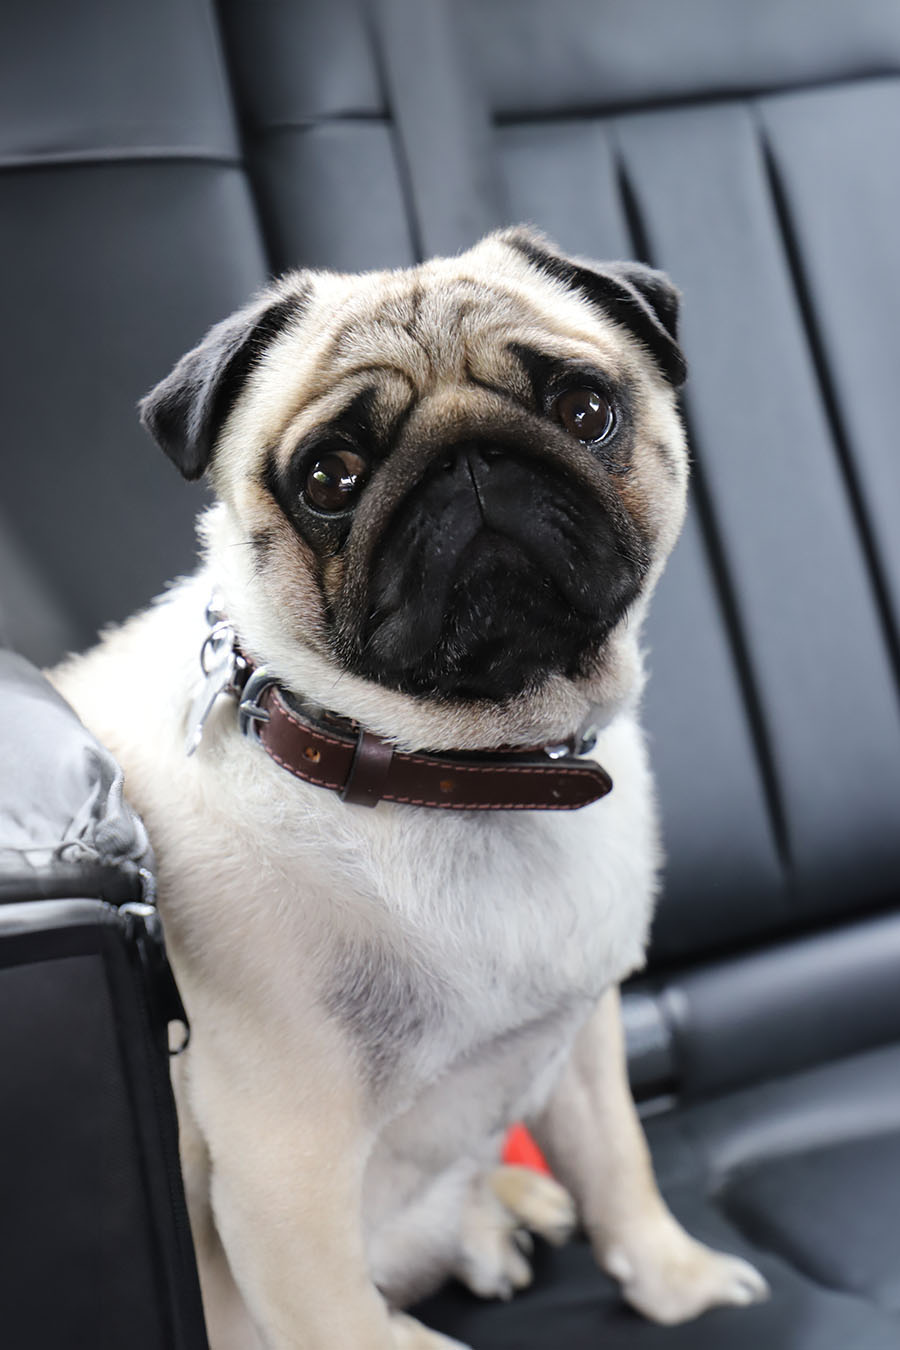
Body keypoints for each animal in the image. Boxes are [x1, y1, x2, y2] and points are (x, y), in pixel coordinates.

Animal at [50, 232, 766, 1350]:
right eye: (331, 476)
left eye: (584, 410)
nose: (470, 461)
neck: (474, 774)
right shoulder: (283, 1175)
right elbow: (343, 1317)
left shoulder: (581, 1036)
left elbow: (617, 1162)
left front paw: (675, 1280)